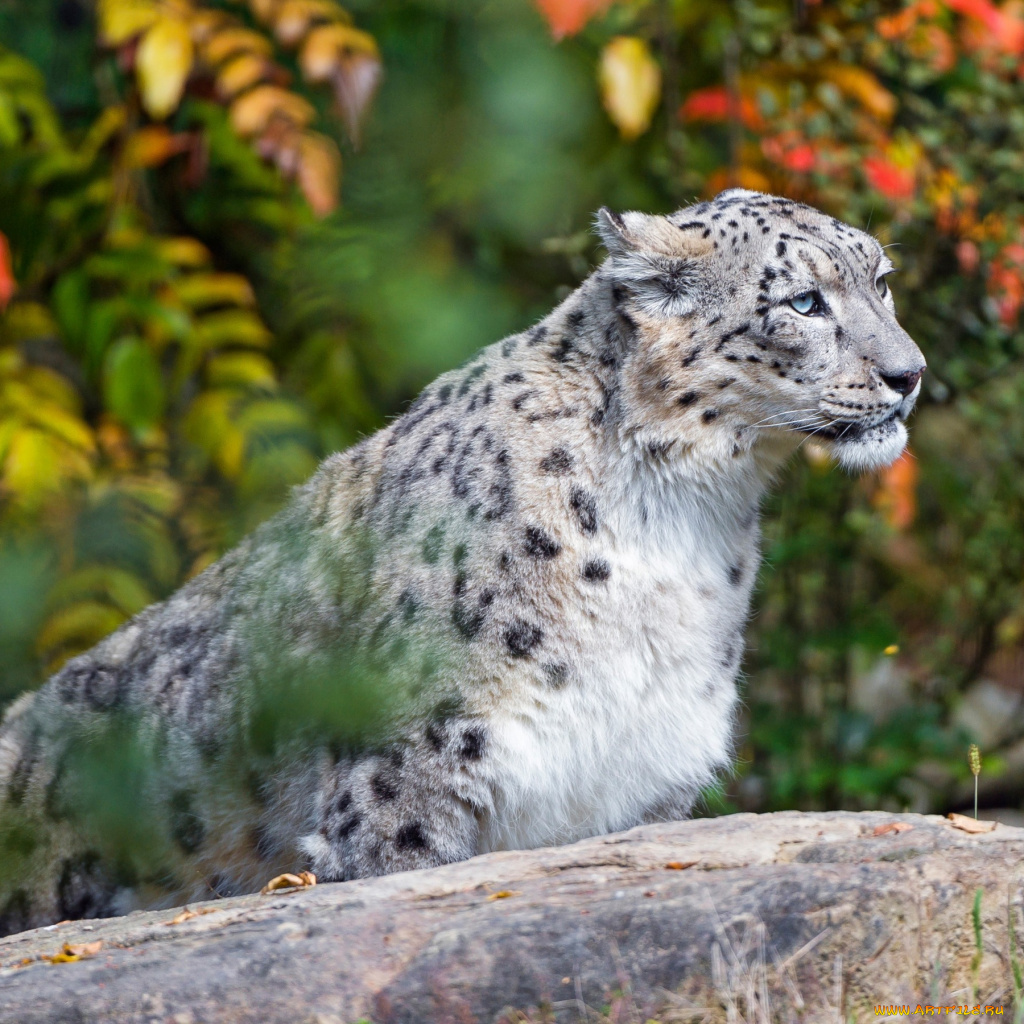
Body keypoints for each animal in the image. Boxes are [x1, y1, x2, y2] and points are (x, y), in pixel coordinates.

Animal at [0, 190, 925, 937]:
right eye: (804, 300)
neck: (679, 528)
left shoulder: (643, 782)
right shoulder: (409, 784)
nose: (909, 373)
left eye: (880, 280)